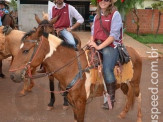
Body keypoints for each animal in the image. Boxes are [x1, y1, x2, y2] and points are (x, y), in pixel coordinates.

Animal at [9, 25, 143, 121]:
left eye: (26, 50)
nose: (12, 75)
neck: (71, 67)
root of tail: (135, 52)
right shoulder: (72, 102)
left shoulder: (80, 103)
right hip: (123, 83)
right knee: (128, 95)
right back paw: (123, 113)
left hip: (135, 82)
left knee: (138, 96)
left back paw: (139, 118)